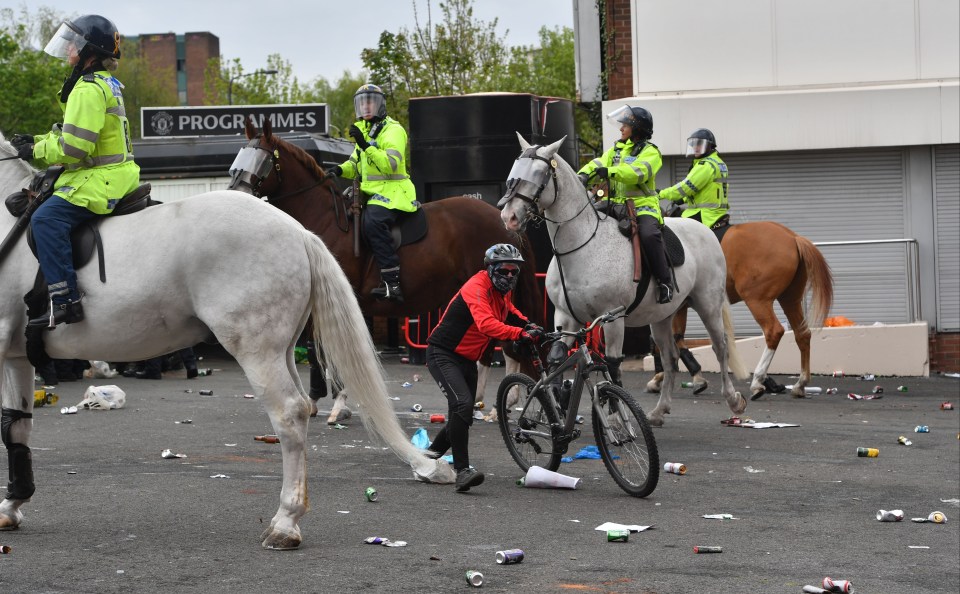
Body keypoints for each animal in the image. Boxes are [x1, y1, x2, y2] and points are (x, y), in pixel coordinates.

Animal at [0, 133, 454, 544]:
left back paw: (286, 522)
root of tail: (298, 231)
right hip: (281, 350)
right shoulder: (15, 359)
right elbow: (16, 426)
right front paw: (13, 505)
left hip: (256, 350)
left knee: (289, 414)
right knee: (303, 407)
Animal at [231, 118, 548, 416]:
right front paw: (316, 400)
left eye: (262, 159)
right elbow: (314, 348)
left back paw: (493, 403)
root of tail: (502, 219)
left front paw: (339, 402)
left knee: (501, 346)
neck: (326, 220)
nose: (235, 193)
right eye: (239, 158)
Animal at [502, 134, 752, 424]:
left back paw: (734, 400)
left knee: (720, 347)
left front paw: (614, 414)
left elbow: (612, 363)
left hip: (708, 304)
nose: (508, 216)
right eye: (514, 169)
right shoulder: (565, 316)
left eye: (540, 173)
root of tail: (705, 229)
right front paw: (555, 408)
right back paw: (659, 410)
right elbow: (556, 357)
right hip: (662, 317)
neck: (582, 247)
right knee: (670, 357)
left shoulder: (612, 318)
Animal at [644, 220, 832, 400]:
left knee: (774, 331)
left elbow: (668, 343)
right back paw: (800, 384)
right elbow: (676, 339)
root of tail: (792, 237)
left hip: (757, 300)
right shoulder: (679, 308)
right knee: (802, 334)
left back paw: (757, 382)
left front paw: (666, 378)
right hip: (790, 299)